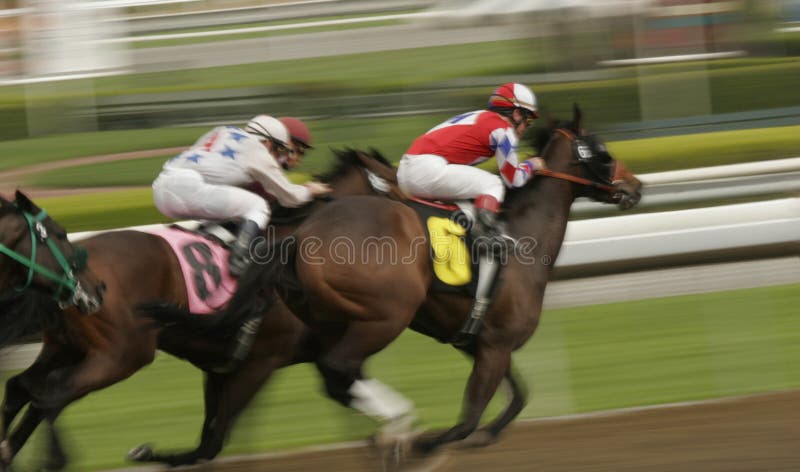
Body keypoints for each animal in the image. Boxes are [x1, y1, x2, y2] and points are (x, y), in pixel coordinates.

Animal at [0, 149, 398, 470]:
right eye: (398, 186)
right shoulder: (260, 362)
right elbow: (212, 443)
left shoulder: (227, 367)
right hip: (123, 354)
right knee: (52, 395)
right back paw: (51, 457)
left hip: (66, 346)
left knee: (26, 389)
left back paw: (11, 451)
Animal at [155, 104, 644, 458]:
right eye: (601, 151)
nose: (635, 186)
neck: (524, 238)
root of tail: (301, 235)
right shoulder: (496, 344)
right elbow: (469, 418)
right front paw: (427, 443)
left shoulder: (481, 343)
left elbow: (518, 398)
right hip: (385, 316)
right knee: (338, 368)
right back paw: (397, 430)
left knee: (333, 376)